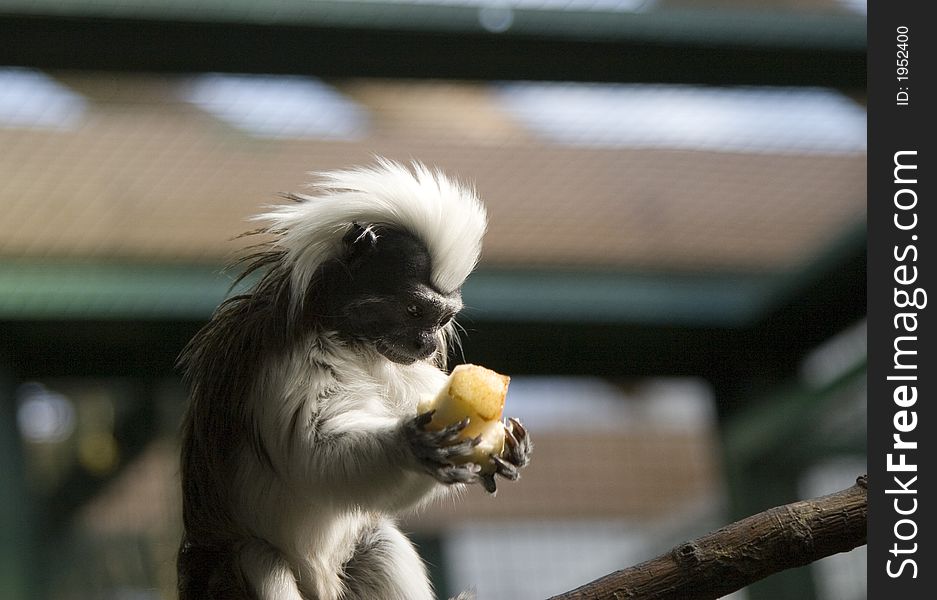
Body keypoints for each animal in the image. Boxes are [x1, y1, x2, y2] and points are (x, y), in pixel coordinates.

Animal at [173, 161, 532, 600]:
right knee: (259, 559)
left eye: (442, 319)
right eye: (414, 311)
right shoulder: (289, 359)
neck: (351, 341)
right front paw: (411, 444)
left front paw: (506, 450)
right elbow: (313, 450)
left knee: (378, 544)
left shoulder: (398, 366)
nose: (427, 342)